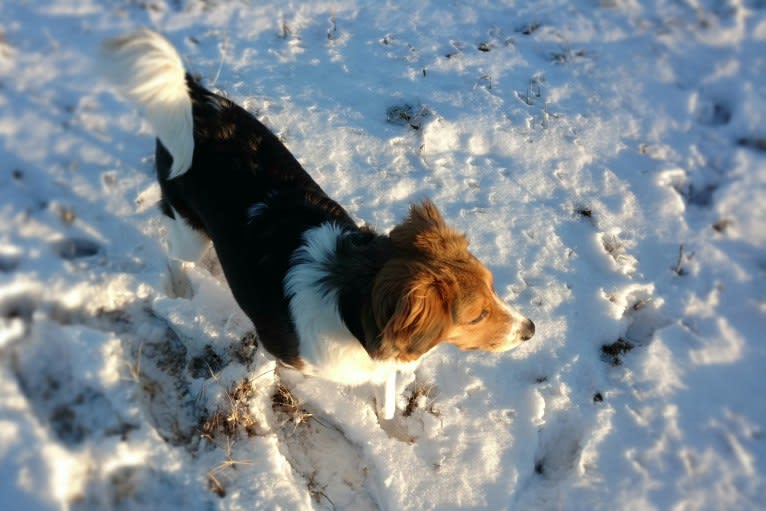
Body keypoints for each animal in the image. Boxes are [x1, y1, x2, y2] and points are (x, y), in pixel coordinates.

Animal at [100, 30, 536, 420]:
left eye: (494, 288)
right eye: (476, 316)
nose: (530, 329)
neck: (352, 299)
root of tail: (197, 99)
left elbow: (386, 397)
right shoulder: (279, 348)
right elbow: (268, 372)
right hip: (189, 229)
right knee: (175, 252)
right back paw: (179, 288)